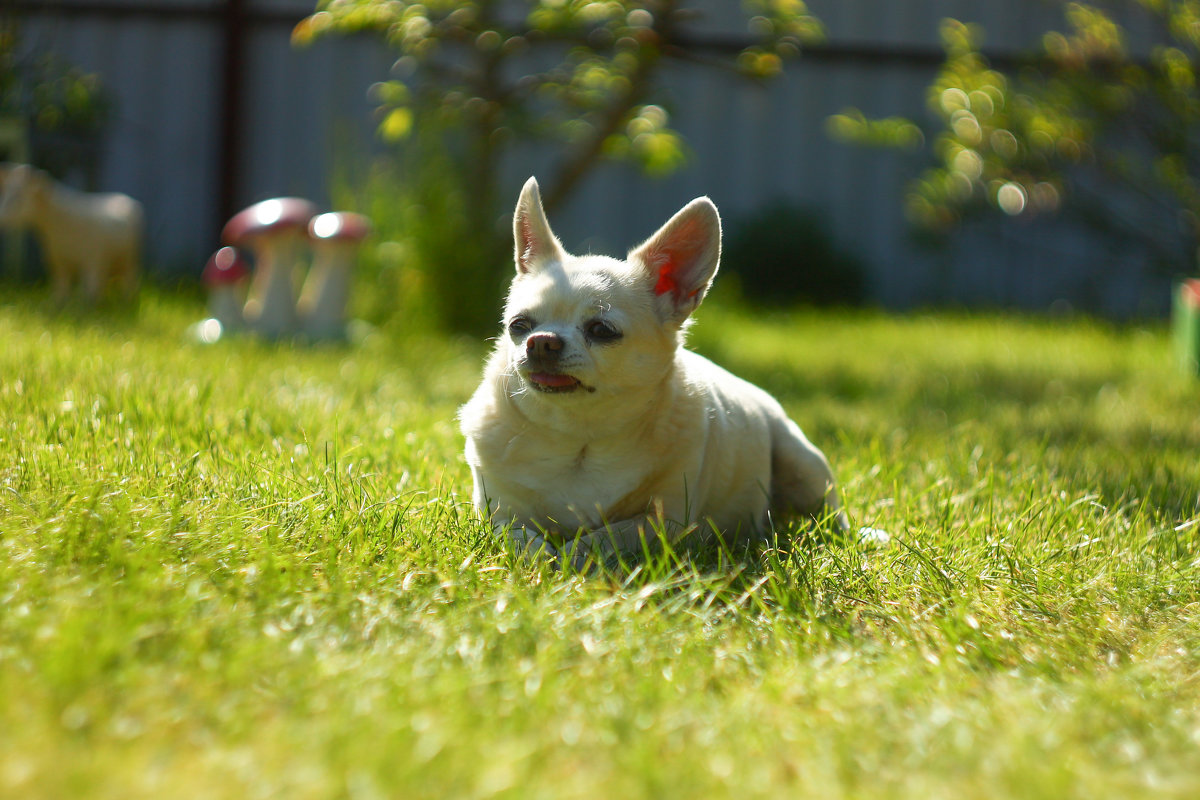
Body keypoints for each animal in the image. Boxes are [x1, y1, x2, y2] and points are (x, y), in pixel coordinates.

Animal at [456, 178, 844, 566]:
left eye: (601, 330)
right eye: (519, 326)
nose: (541, 342)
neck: (579, 437)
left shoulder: (666, 521)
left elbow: (609, 535)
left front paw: (571, 556)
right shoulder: (498, 511)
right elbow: (518, 535)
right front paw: (541, 556)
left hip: (802, 465)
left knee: (827, 513)